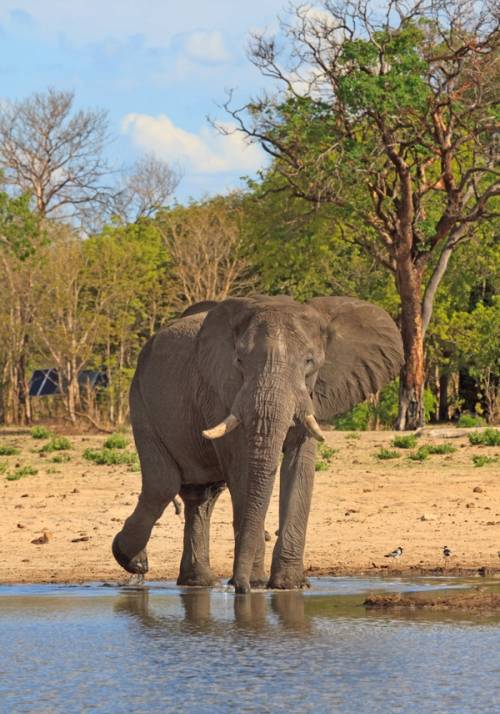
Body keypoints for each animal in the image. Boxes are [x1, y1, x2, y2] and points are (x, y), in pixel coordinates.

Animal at [112, 295, 403, 593]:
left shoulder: (311, 397)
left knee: (201, 496)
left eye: (309, 361)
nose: (237, 586)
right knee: (163, 485)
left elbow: (300, 466)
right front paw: (257, 583)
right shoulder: (220, 392)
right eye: (239, 360)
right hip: (140, 400)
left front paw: (289, 585)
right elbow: (242, 469)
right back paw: (133, 561)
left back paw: (198, 582)